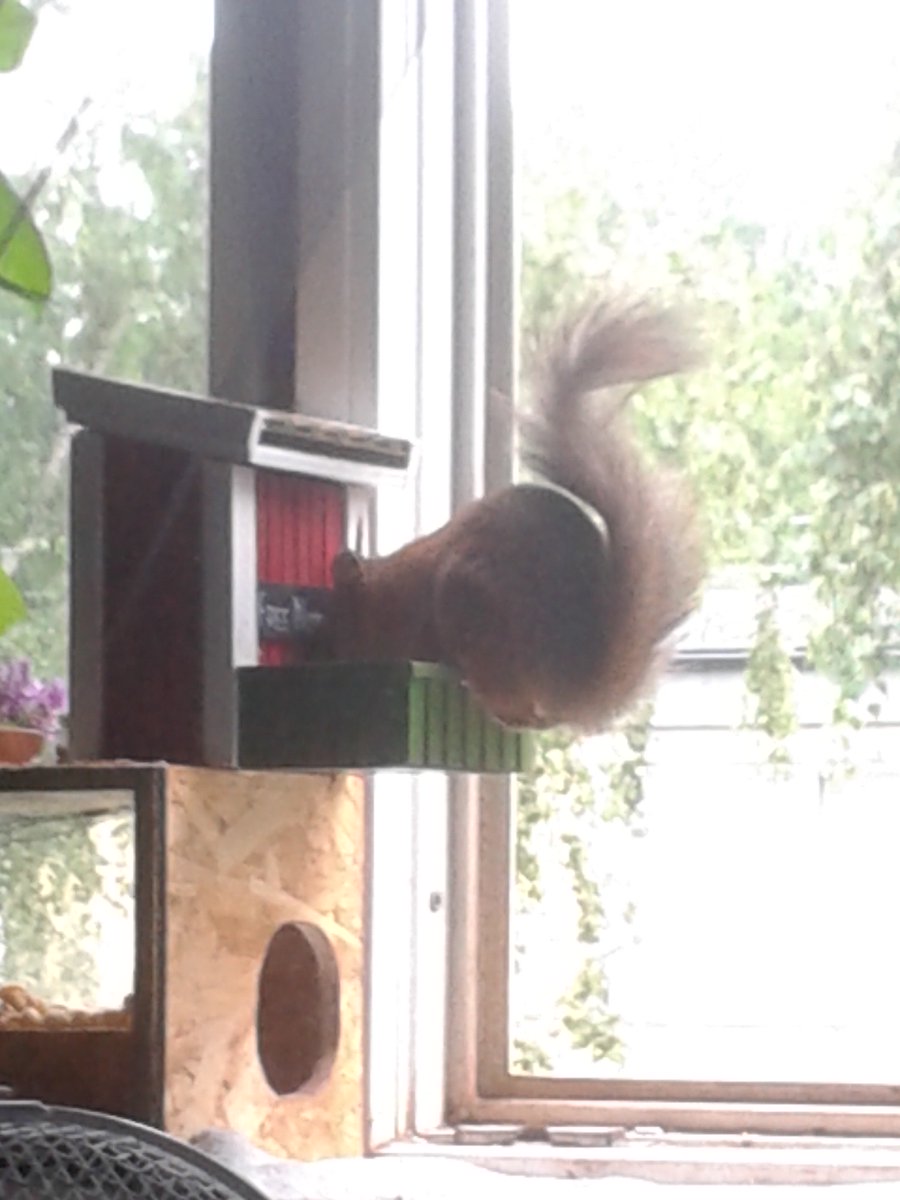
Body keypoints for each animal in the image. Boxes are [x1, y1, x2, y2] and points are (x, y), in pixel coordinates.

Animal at [312, 297, 705, 732]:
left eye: (344, 617)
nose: (324, 650)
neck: (388, 590)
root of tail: (570, 688)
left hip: (473, 608)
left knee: (519, 712)